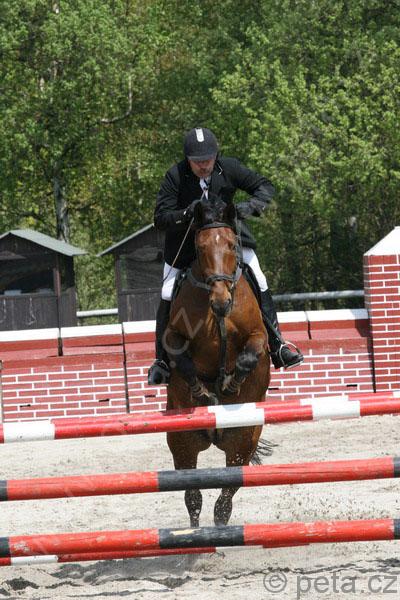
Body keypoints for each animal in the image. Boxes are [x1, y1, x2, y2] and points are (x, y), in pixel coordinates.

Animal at [164, 197, 270, 527]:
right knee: (193, 495)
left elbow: (250, 355)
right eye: (199, 249)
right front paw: (203, 391)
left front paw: (231, 383)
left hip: (242, 441)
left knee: (227, 493)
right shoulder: (173, 336)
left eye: (232, 246)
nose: (222, 304)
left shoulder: (258, 335)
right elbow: (183, 362)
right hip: (184, 442)